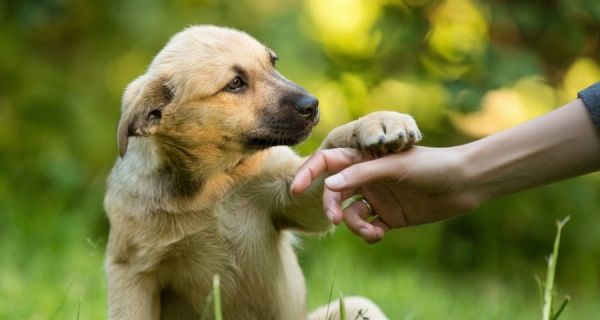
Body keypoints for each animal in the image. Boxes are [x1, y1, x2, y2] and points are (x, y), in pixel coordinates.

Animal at [104, 25, 422, 320]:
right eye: (235, 83)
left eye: (273, 62)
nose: (313, 105)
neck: (214, 185)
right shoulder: (132, 272)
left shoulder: (292, 195)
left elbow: (331, 145)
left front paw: (377, 122)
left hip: (359, 305)